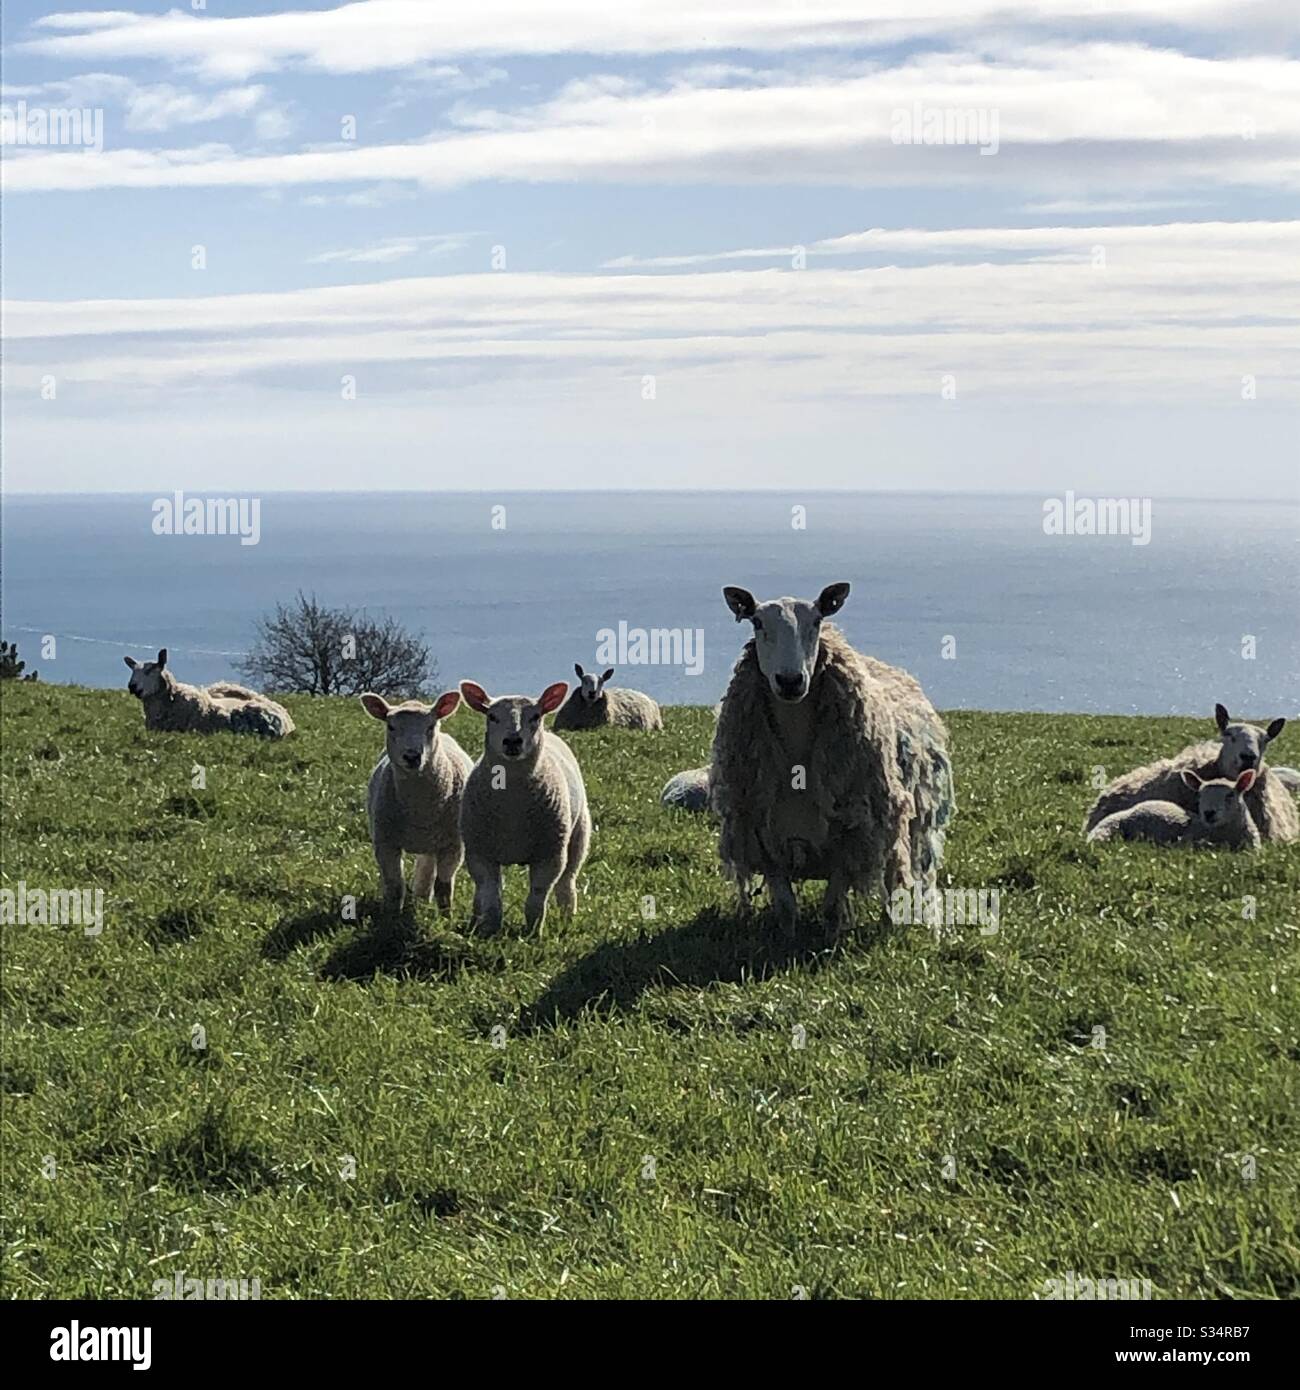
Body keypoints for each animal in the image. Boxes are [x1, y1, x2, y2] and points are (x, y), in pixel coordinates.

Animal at [360, 690, 472, 913]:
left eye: (430, 726)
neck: (419, 809)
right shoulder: (385, 843)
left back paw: (422, 896)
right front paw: (391, 915)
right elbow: (395, 885)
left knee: (427, 866)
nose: (412, 756)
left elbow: (443, 886)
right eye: (391, 726)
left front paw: (446, 915)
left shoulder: (454, 845)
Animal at [458, 680, 591, 935]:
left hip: (577, 835)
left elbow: (537, 898)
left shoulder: (550, 854)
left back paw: (567, 920)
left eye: (535, 716)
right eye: (491, 716)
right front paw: (488, 932)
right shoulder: (480, 853)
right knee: (481, 896)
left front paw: (533, 933)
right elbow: (490, 896)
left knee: (567, 883)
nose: (512, 741)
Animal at [709, 582, 954, 937]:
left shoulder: (850, 839)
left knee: (903, 877)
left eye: (817, 621)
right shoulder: (764, 840)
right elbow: (786, 910)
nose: (790, 681)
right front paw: (786, 940)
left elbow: (832, 908)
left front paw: (831, 940)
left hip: (909, 825)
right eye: (757, 622)